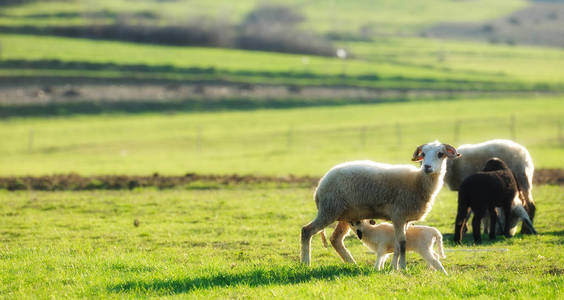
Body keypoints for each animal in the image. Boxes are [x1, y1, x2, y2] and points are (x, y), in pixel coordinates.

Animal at [300, 141, 458, 270]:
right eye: (423, 154)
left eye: (440, 154)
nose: (427, 167)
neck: (418, 182)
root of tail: (320, 185)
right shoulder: (398, 215)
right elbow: (402, 242)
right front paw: (402, 267)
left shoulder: (404, 219)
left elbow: (397, 243)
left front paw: (394, 267)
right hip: (329, 209)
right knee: (306, 231)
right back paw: (305, 263)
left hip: (345, 214)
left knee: (335, 239)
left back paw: (352, 263)